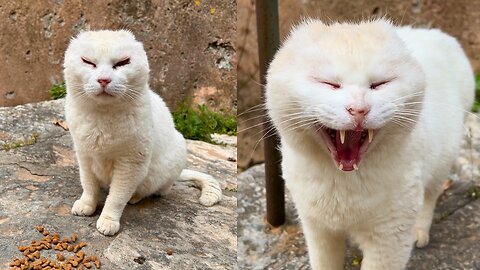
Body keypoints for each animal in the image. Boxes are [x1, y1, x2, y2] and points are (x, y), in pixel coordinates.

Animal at [62, 30, 222, 236]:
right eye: (88, 62)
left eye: (122, 62)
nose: (104, 79)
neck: (102, 117)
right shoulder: (84, 155)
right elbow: (89, 185)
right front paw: (86, 205)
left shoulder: (130, 165)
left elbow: (116, 197)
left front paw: (108, 221)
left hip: (175, 152)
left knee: (156, 190)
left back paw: (136, 197)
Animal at [264, 19, 474, 270]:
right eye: (329, 84)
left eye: (379, 84)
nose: (359, 109)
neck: (343, 183)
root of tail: (433, 33)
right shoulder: (318, 229)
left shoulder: (390, 239)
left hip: (440, 163)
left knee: (430, 196)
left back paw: (419, 231)